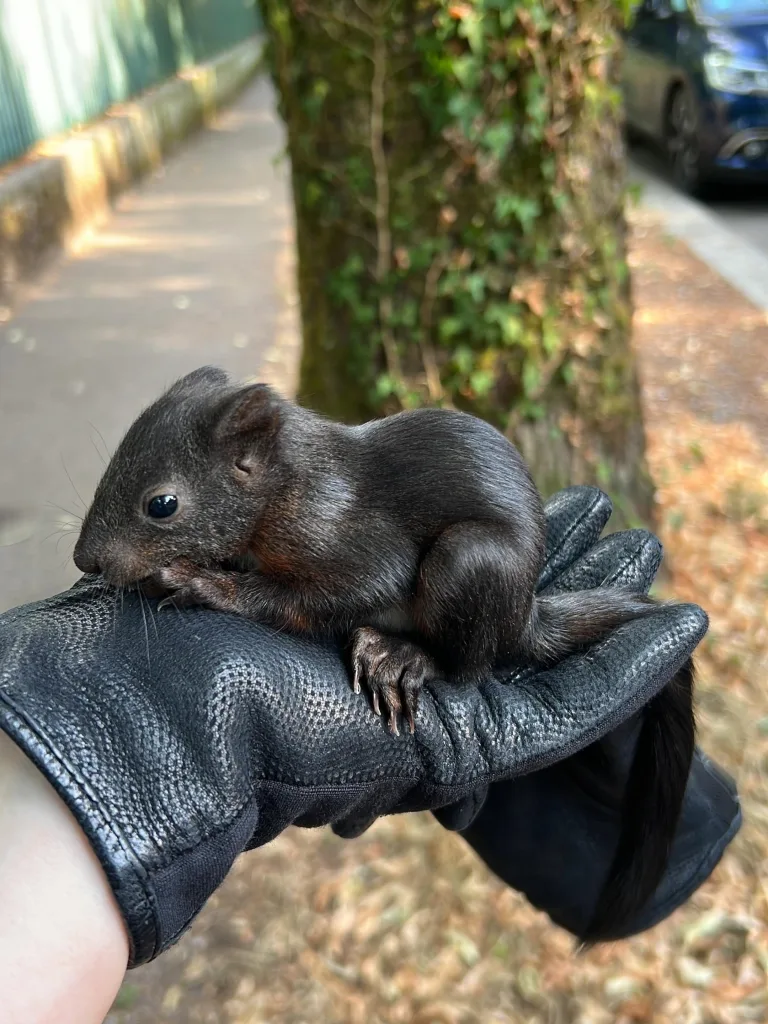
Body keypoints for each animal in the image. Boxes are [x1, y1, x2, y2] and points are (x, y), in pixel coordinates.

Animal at [73, 365, 695, 944]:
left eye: (163, 505)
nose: (85, 560)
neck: (285, 487)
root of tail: (524, 615)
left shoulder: (344, 541)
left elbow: (325, 595)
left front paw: (202, 584)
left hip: (470, 563)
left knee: (469, 665)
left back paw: (400, 655)